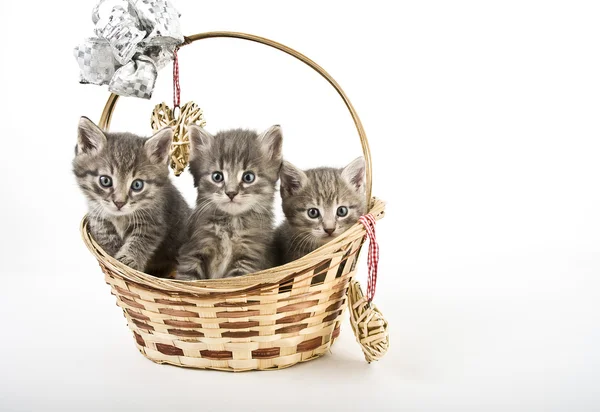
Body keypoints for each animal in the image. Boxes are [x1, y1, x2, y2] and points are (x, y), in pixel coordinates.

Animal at [73, 116, 190, 276]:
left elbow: (140, 241)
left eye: (137, 185)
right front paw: (112, 259)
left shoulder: (153, 222)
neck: (120, 217)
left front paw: (129, 260)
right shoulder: (99, 219)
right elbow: (107, 241)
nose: (119, 203)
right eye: (105, 181)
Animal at [176, 125, 284, 280]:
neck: (230, 225)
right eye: (217, 176)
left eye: (248, 177)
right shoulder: (193, 249)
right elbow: (187, 279)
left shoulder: (249, 257)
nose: (231, 193)